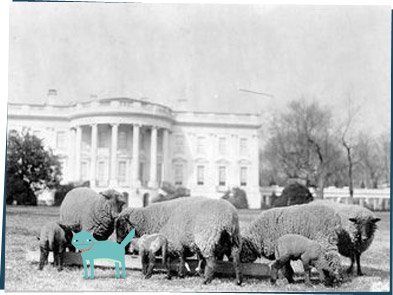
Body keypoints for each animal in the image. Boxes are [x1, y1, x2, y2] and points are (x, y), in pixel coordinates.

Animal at [114, 198, 242, 286]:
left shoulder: (172, 241)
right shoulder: (175, 243)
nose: (118, 242)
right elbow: (179, 258)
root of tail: (229, 218)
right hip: (232, 241)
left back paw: (206, 280)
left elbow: (170, 259)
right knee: (236, 260)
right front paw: (178, 273)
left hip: (207, 239)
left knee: (211, 262)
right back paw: (238, 281)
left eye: (121, 225)